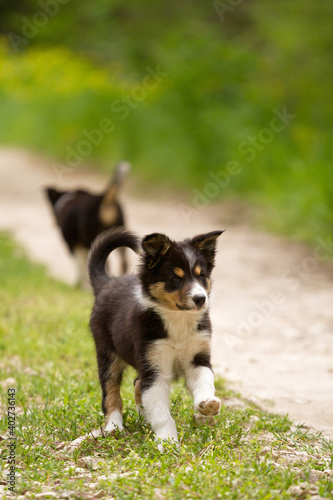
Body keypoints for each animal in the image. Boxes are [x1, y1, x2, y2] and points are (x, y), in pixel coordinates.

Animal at [88, 227, 223, 450]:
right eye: (175, 278)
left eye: (201, 275)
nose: (200, 299)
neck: (178, 319)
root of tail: (107, 282)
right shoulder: (155, 369)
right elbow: (162, 415)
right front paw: (168, 443)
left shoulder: (198, 359)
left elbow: (204, 382)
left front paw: (207, 404)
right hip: (107, 353)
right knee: (111, 392)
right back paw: (114, 427)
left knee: (136, 383)